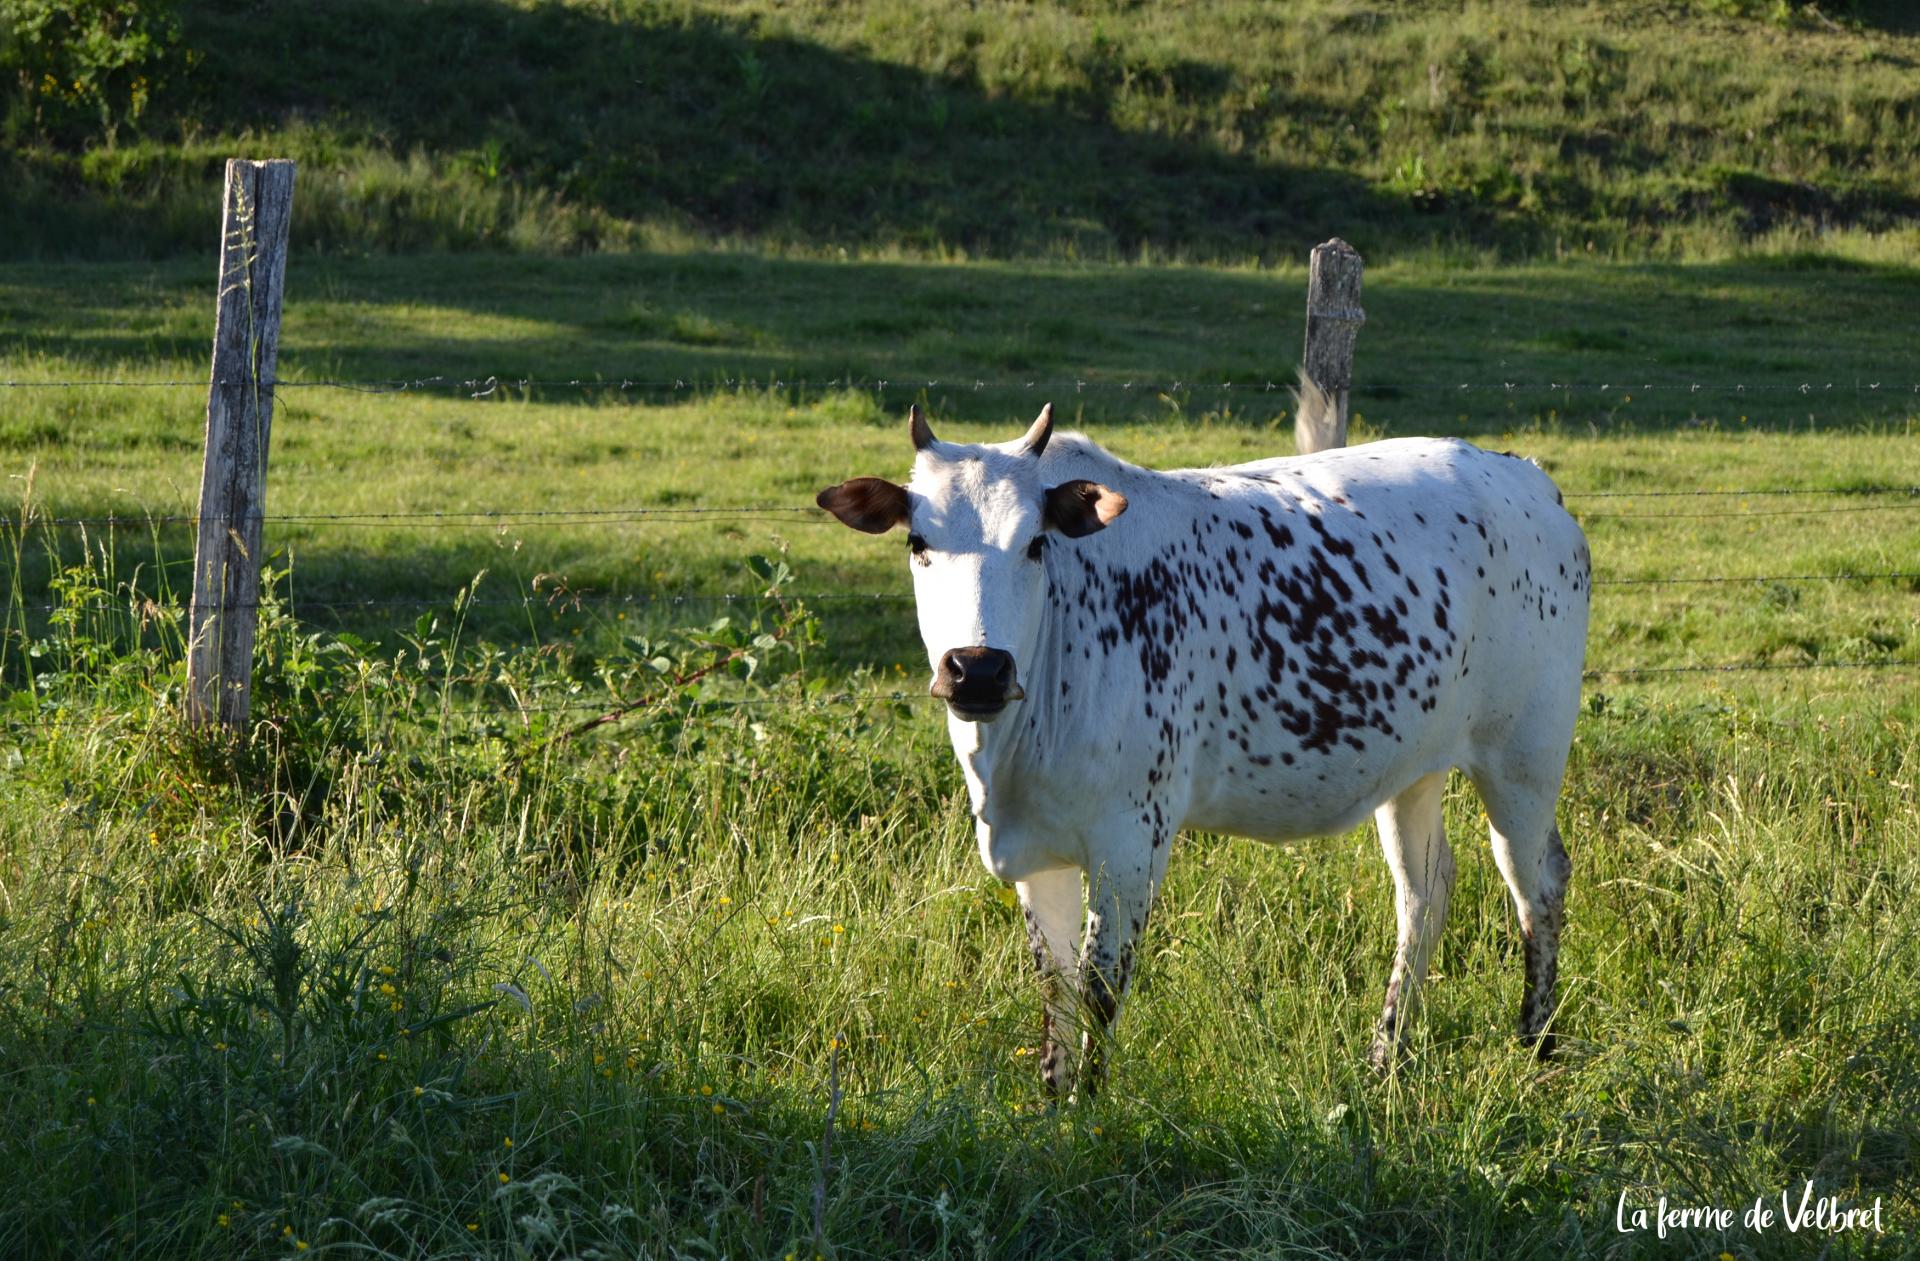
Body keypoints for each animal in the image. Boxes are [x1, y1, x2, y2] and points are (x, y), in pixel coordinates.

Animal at [817, 387, 1582, 1097]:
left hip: (1524, 757)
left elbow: (1099, 988)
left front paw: (1090, 1112)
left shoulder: (1131, 843)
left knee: (1537, 881)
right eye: (918, 544)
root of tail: (1524, 477)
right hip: (1413, 767)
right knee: (1424, 891)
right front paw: (1053, 1102)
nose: (977, 668)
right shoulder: (1034, 854)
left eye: (1036, 543)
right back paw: (1384, 1058)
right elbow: (1055, 988)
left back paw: (1535, 1045)